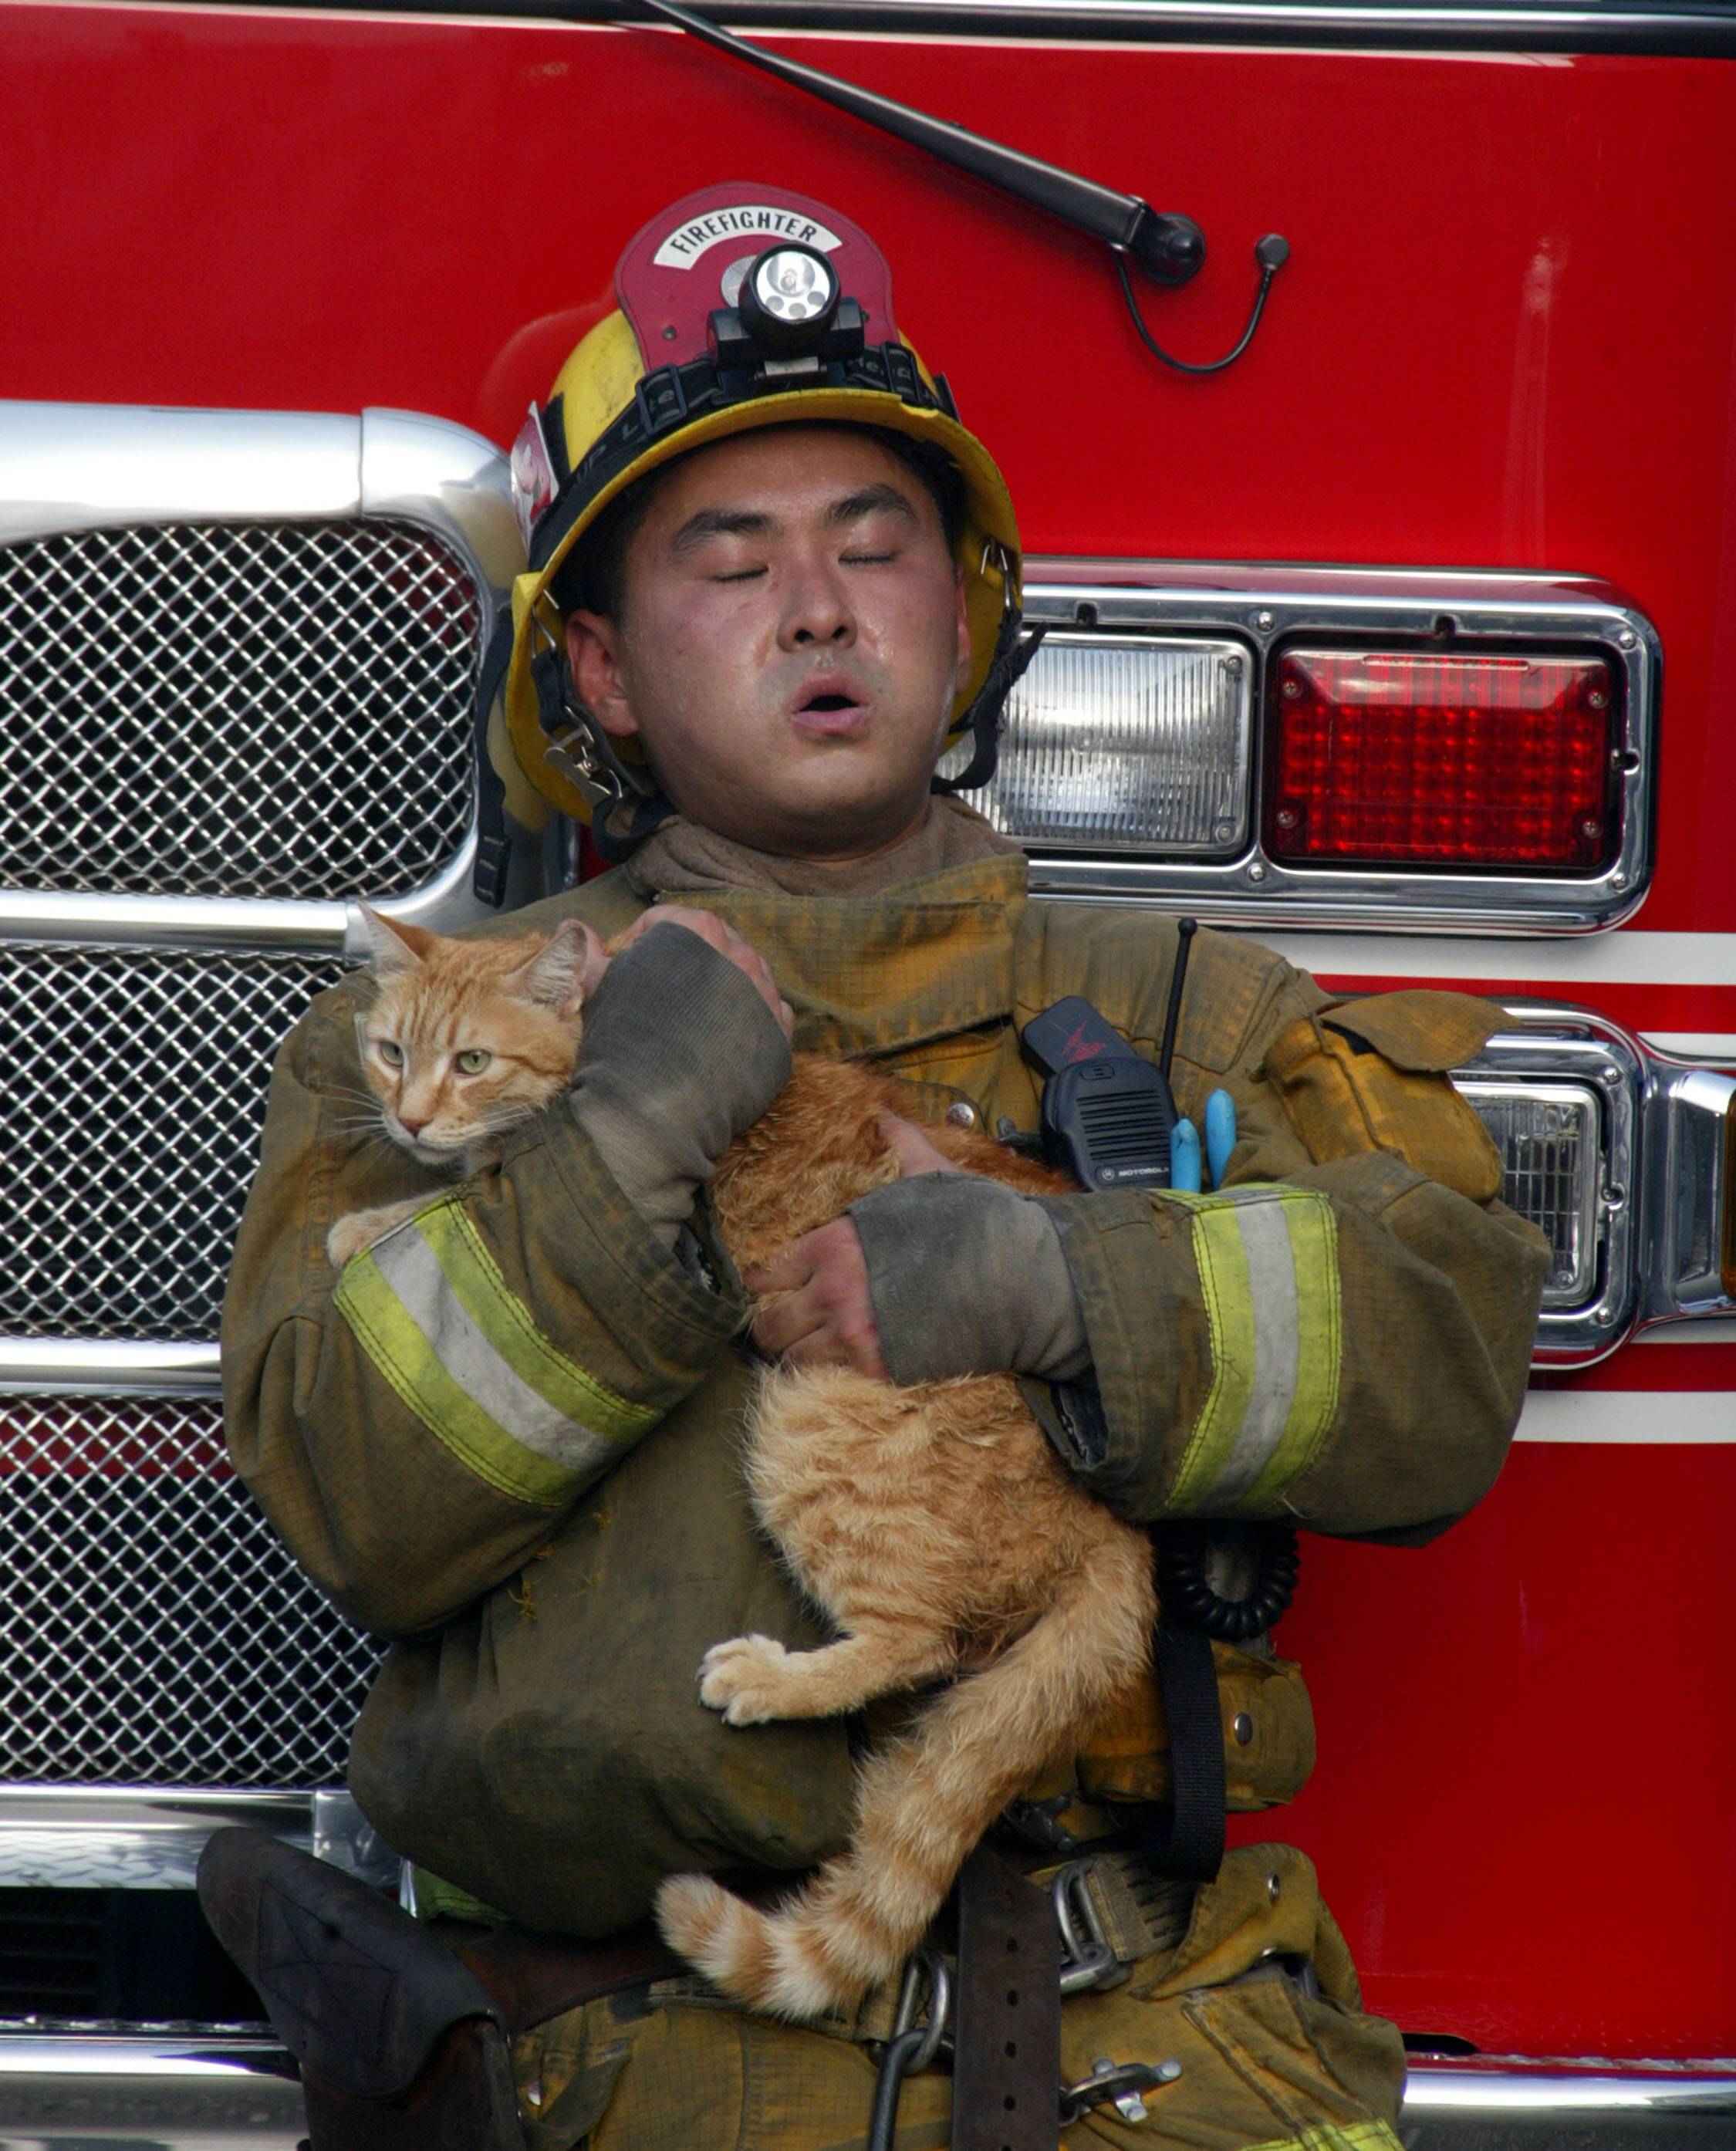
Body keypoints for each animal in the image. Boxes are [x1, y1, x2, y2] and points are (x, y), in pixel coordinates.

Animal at [333, 912, 1161, 2030]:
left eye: (471, 1061)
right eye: (391, 1051)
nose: (410, 1117)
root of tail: (1120, 1535)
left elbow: (464, 1201)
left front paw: (369, 1222)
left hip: (806, 1426)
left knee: (920, 1641)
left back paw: (771, 1679)